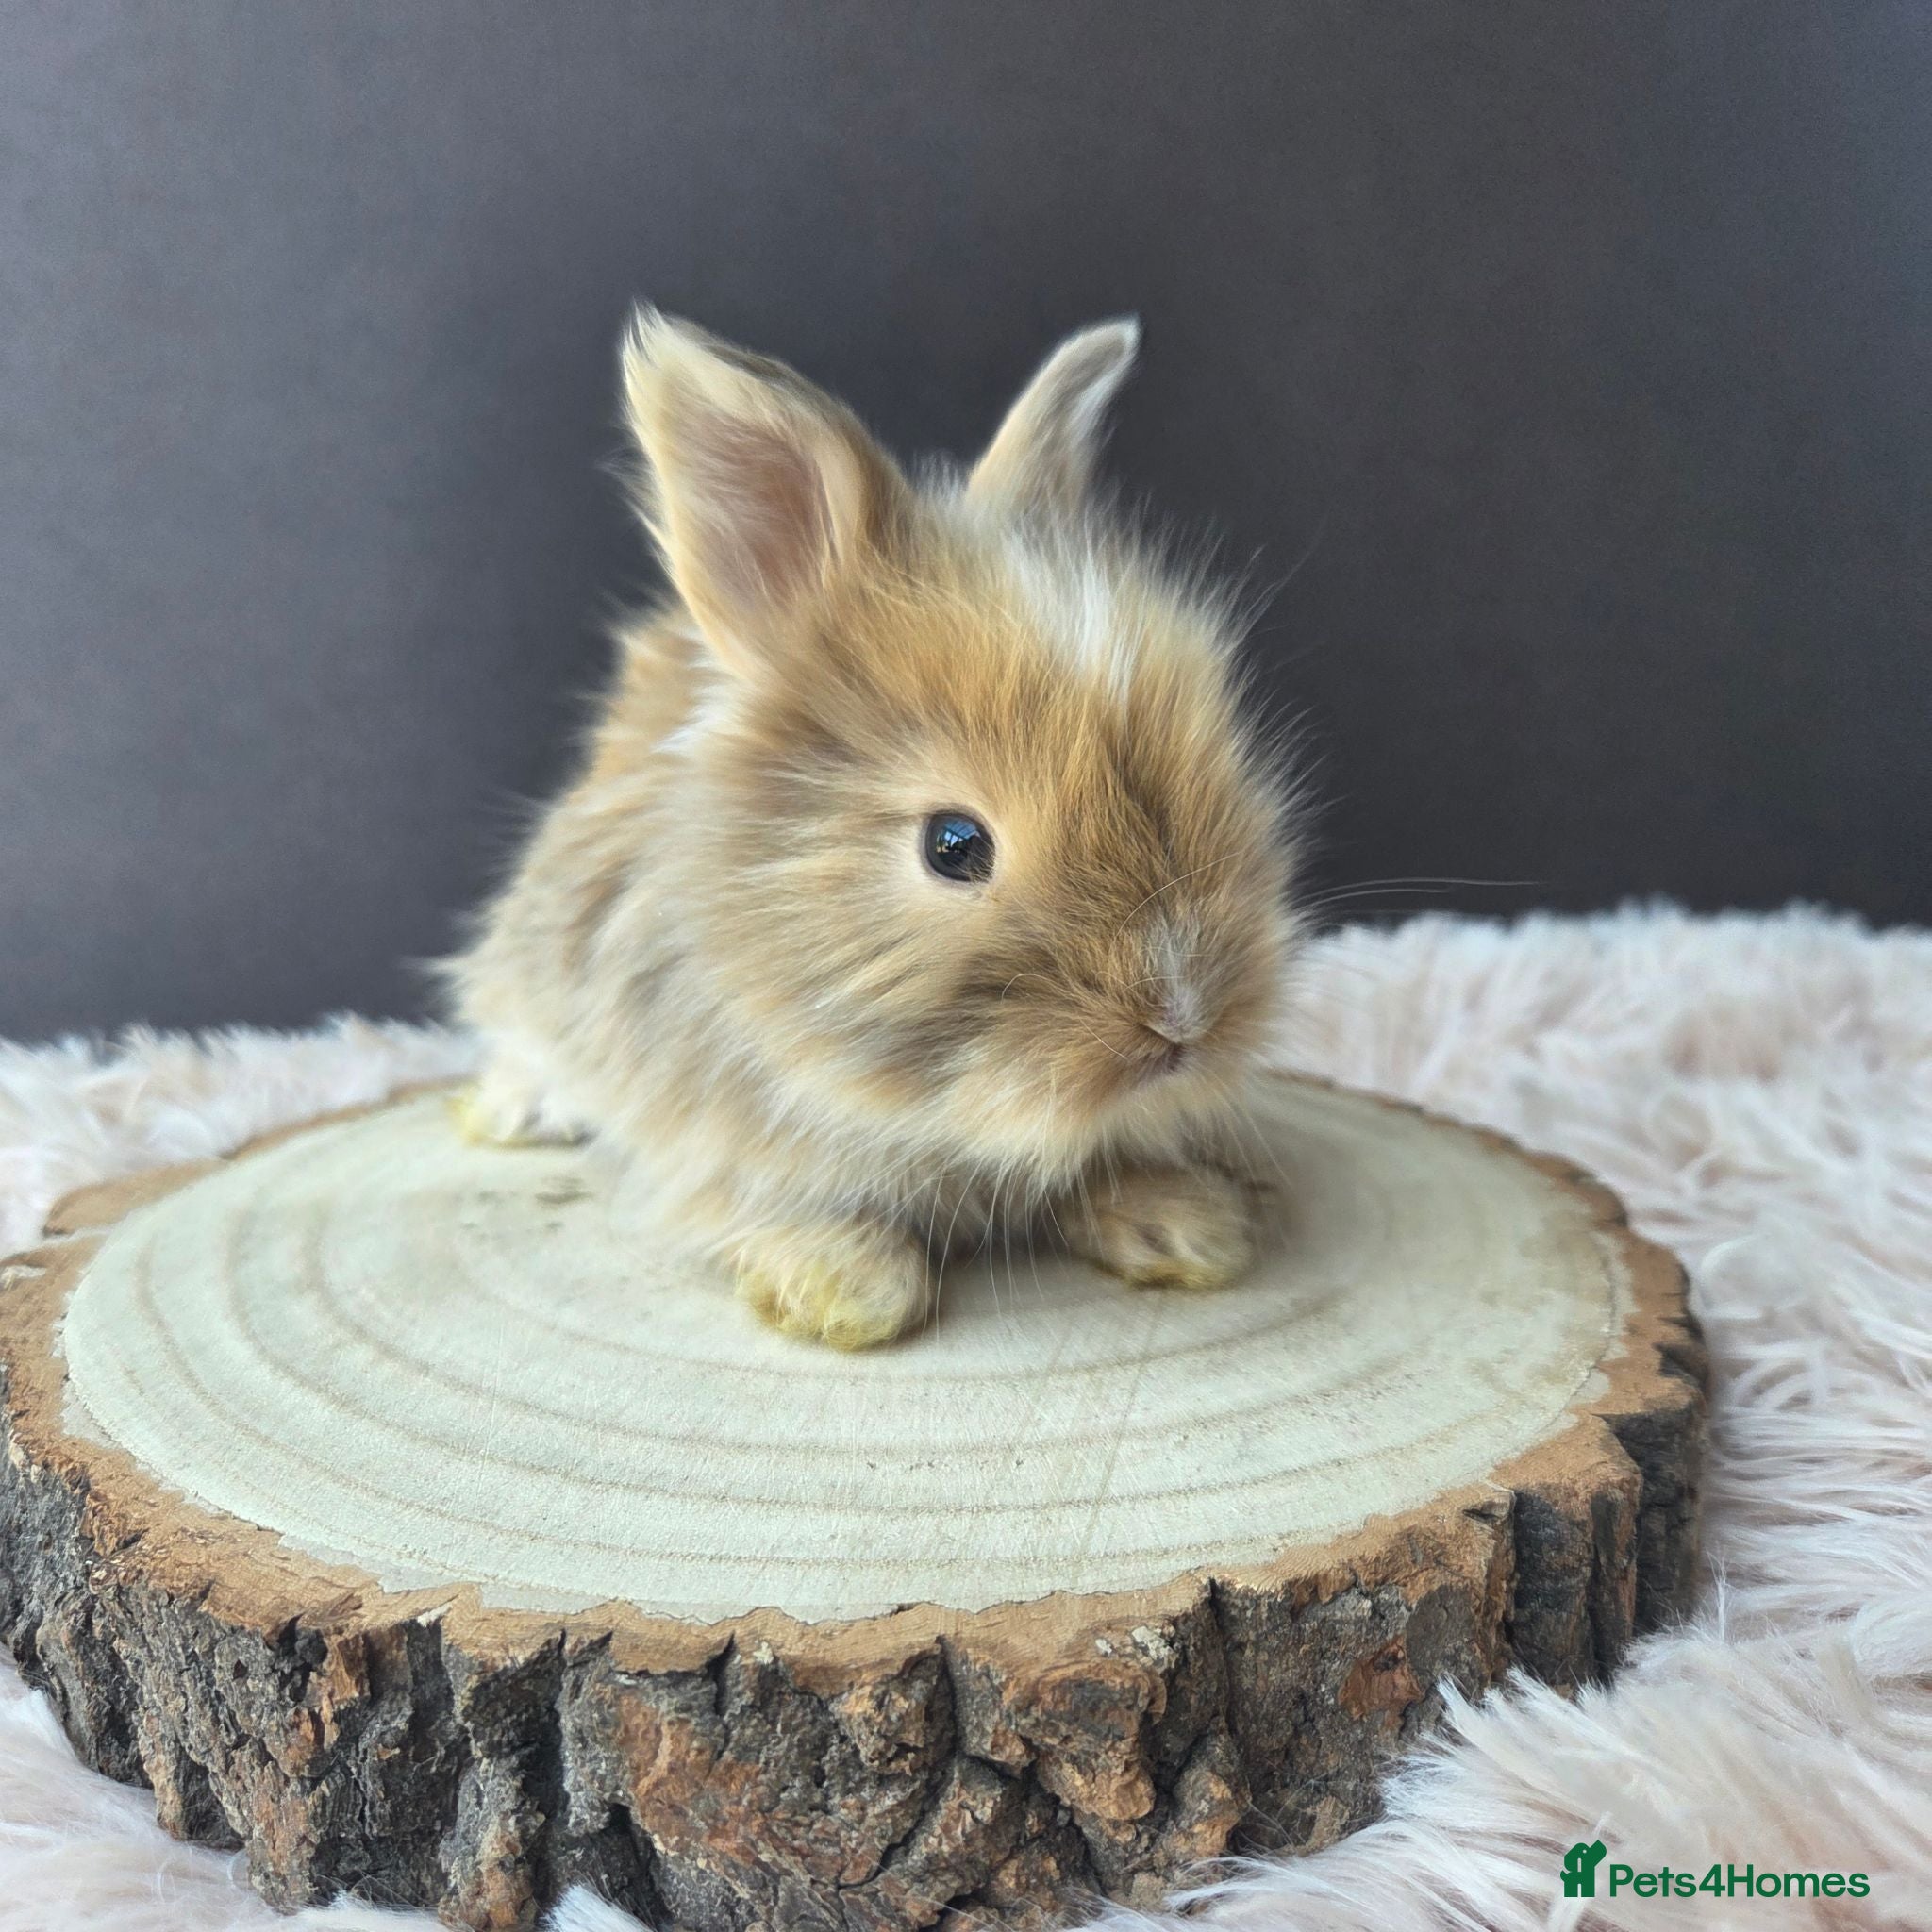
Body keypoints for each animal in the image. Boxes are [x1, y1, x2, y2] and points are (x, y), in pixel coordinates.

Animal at [441, 309, 1303, 1348]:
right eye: (954, 845)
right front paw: (837, 1288)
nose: (1183, 1017)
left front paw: (1192, 1225)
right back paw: (509, 1111)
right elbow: (793, 1226)